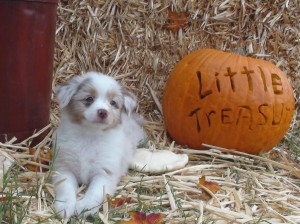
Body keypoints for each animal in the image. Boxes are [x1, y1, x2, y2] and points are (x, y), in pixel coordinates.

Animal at [53, 72, 145, 219]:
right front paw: (65, 206)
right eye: (89, 99)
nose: (103, 112)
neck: (90, 135)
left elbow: (95, 192)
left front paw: (84, 207)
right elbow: (65, 188)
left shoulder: (104, 174)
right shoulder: (64, 168)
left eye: (113, 103)